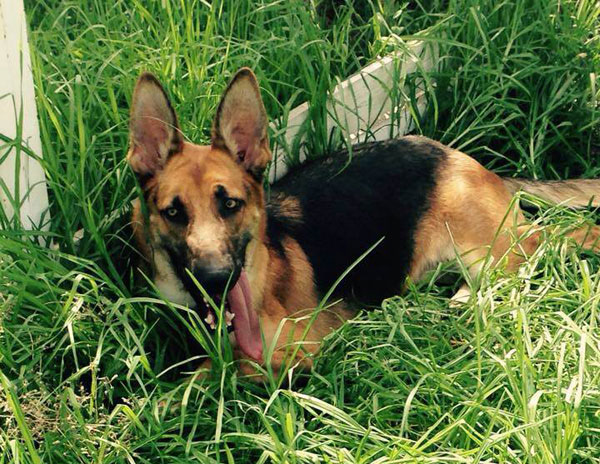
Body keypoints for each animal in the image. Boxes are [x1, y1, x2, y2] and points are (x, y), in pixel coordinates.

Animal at [127, 68, 600, 374]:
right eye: (174, 212)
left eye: (230, 204)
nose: (217, 279)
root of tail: (452, 155)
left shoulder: (304, 352)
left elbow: (224, 372)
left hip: (494, 245)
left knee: (559, 240)